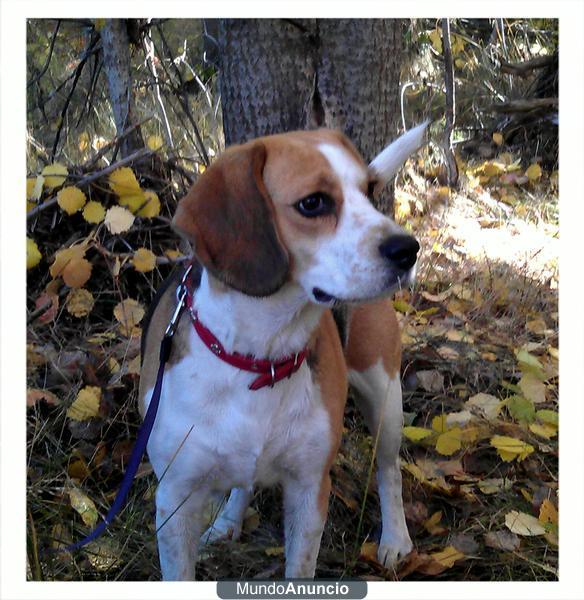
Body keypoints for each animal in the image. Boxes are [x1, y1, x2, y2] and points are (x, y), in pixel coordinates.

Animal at [139, 123, 426, 580]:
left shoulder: (310, 488)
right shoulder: (174, 498)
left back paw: (395, 538)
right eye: (313, 203)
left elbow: (301, 567)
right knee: (244, 481)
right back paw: (228, 521)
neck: (259, 355)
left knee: (389, 469)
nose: (407, 249)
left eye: (368, 190)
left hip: (385, 398)